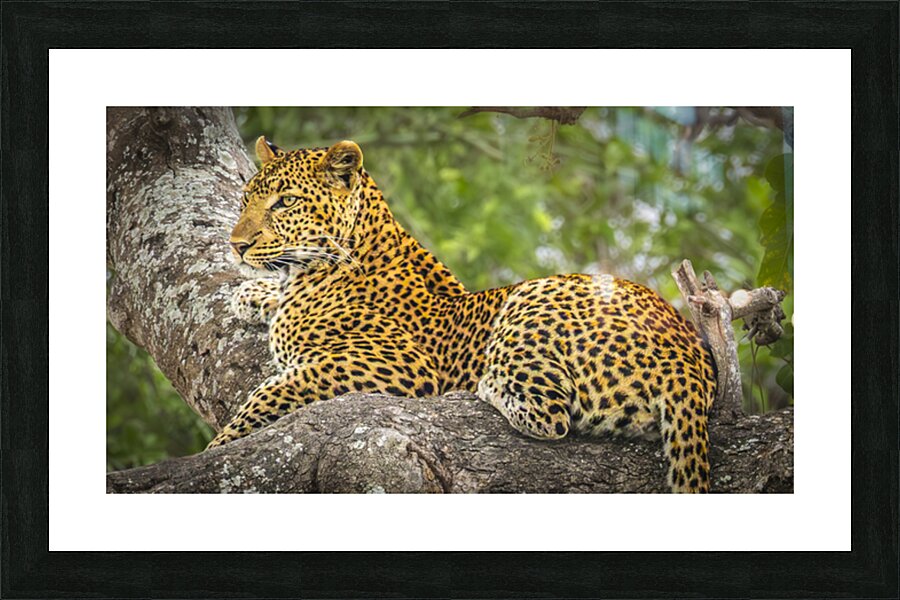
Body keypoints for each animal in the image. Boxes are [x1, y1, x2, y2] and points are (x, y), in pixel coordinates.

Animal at [206, 136, 718, 493]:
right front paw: (251, 294)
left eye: (285, 202)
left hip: (530, 296)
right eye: (246, 199)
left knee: (550, 414)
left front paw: (217, 448)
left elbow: (271, 392)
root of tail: (689, 364)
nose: (237, 245)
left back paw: (486, 384)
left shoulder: (401, 366)